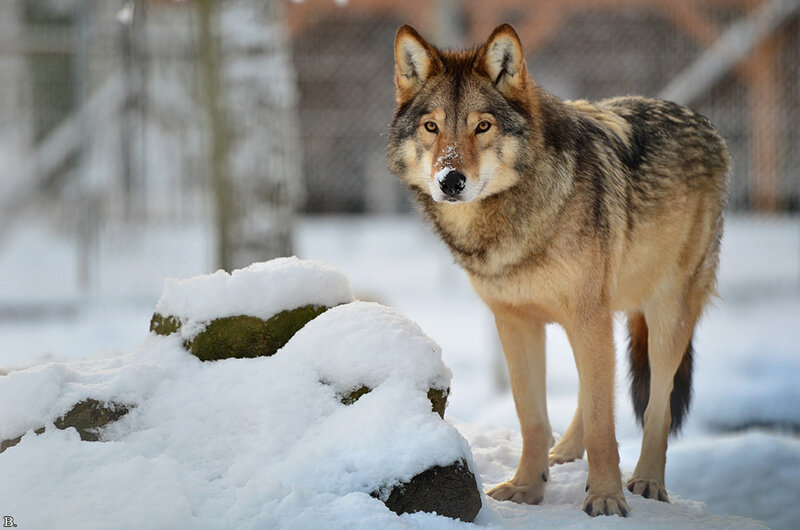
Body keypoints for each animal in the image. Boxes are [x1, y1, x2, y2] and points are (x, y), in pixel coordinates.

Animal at [387, 23, 729, 516]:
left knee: (656, 405)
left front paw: (606, 497)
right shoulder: (516, 322)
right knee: (592, 392)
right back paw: (565, 453)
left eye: (482, 126)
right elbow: (533, 417)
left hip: (665, 313)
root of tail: (701, 120)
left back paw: (647, 480)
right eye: (432, 127)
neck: (515, 221)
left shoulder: (588, 316)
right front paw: (527, 488)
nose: (450, 181)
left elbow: (608, 425)